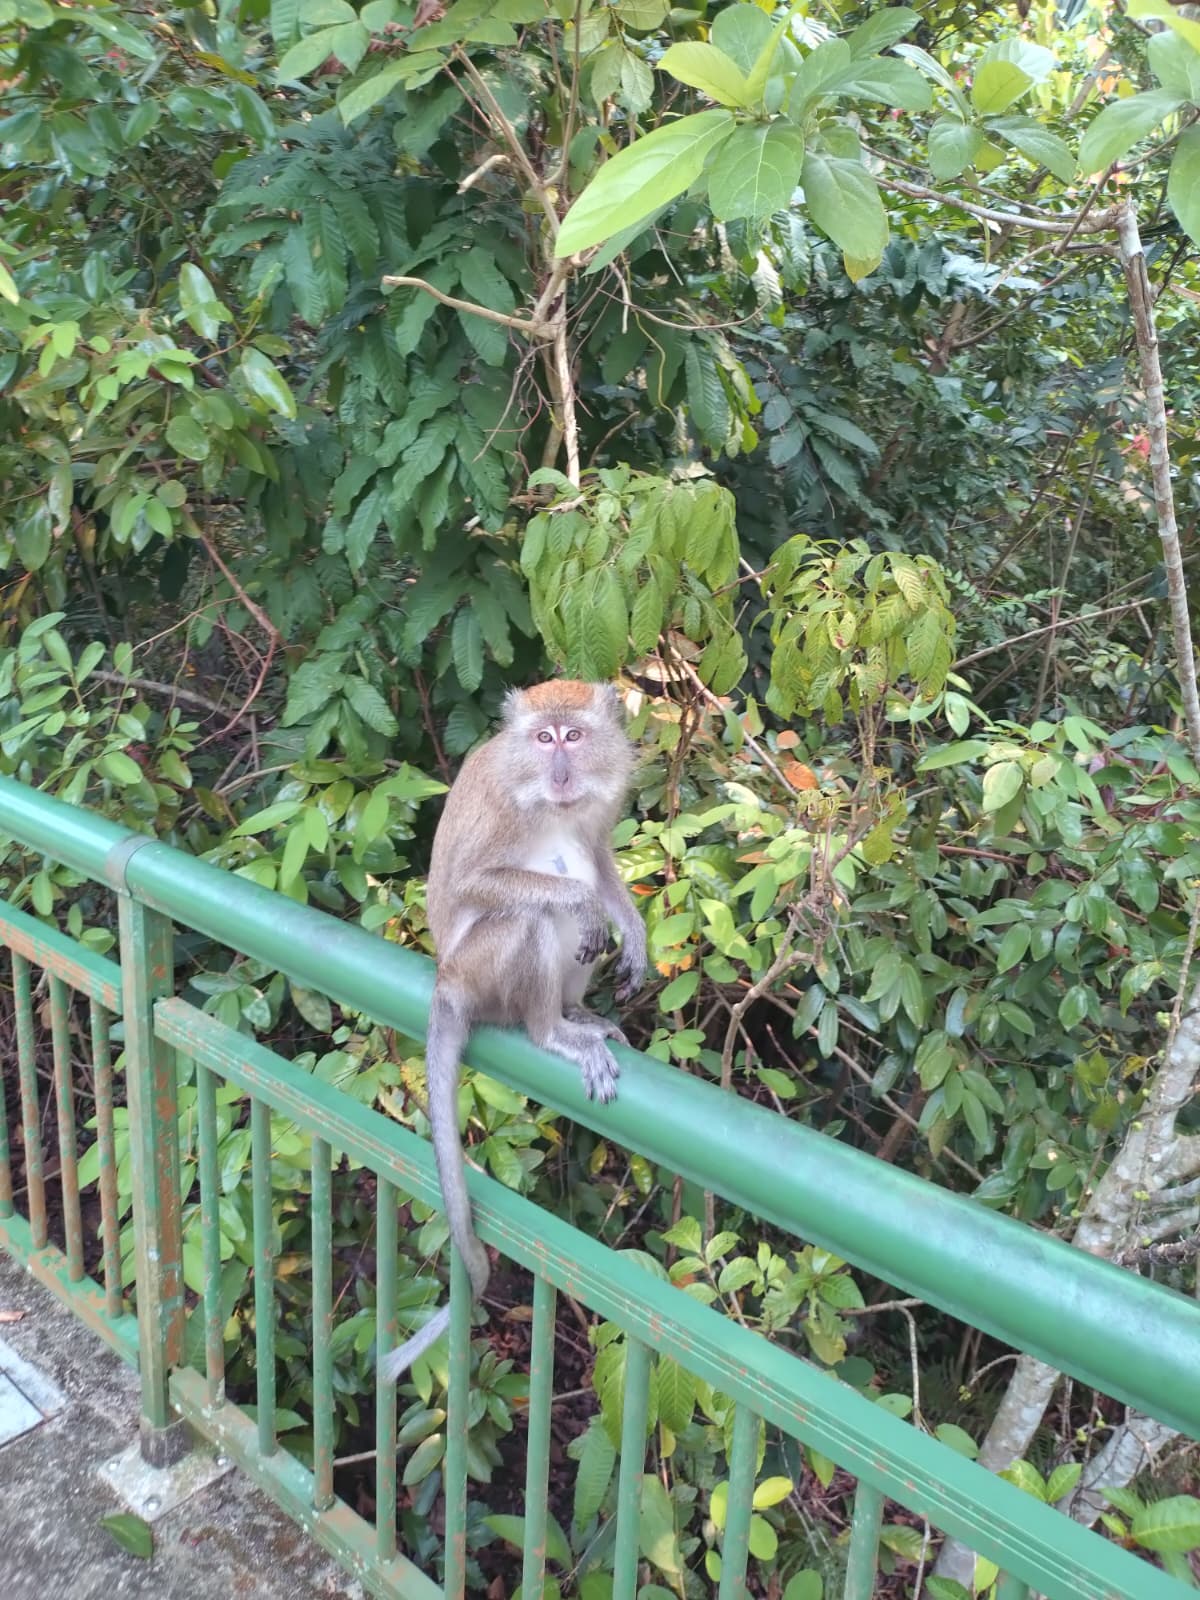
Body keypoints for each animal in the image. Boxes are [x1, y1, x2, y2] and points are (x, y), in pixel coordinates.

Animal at [378, 679, 647, 1381]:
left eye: (574, 736)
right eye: (542, 738)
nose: (560, 772)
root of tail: (445, 981)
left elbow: (599, 856)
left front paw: (631, 930)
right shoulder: (503, 801)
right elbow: (476, 880)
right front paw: (584, 906)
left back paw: (577, 1013)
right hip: (480, 971)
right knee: (531, 916)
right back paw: (551, 1030)